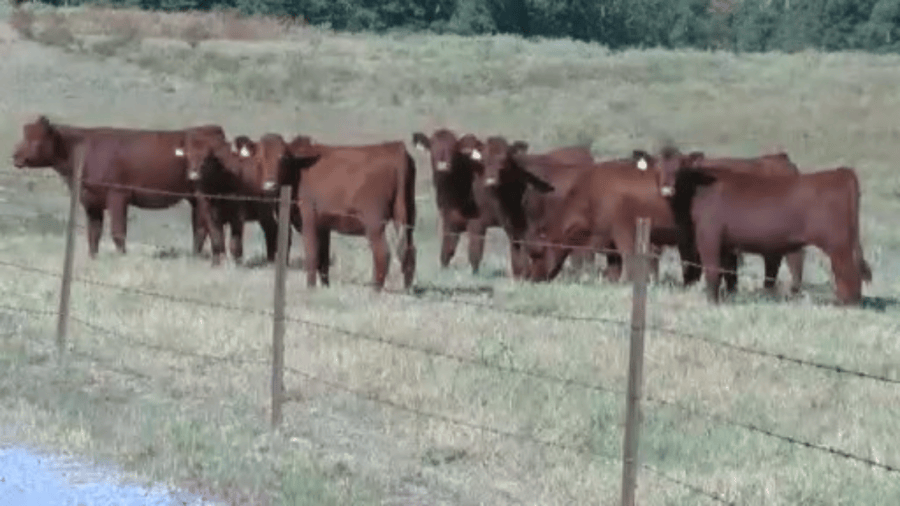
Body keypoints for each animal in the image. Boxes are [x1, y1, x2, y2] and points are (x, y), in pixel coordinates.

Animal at [11, 115, 223, 258]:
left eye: (36, 139)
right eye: (25, 136)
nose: (15, 156)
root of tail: (211, 129)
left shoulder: (118, 195)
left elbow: (118, 232)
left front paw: (121, 257)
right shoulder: (90, 201)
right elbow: (94, 233)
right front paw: (93, 257)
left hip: (204, 197)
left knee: (206, 227)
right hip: (194, 198)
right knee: (200, 228)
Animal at [268, 140, 417, 291]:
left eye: (283, 159)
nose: (269, 185)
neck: (299, 169)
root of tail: (396, 148)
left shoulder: (309, 221)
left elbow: (312, 255)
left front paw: (311, 288)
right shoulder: (323, 227)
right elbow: (324, 259)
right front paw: (325, 286)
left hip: (374, 223)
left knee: (382, 253)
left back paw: (375, 289)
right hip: (407, 218)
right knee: (409, 250)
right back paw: (407, 289)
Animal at [411, 129, 502, 274]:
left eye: (453, 148)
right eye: (433, 145)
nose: (443, 165)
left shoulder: (477, 224)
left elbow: (474, 256)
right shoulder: (449, 221)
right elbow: (446, 252)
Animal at [635, 146, 807, 295]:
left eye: (680, 169)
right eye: (657, 168)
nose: (667, 190)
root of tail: (781, 159)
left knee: (794, 258)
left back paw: (792, 290)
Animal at [655, 162, 872, 305]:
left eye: (680, 168)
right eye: (659, 166)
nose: (667, 188)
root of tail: (841, 172)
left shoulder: (709, 237)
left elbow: (713, 269)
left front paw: (712, 301)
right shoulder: (726, 244)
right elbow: (728, 271)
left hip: (839, 244)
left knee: (848, 271)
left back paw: (847, 302)